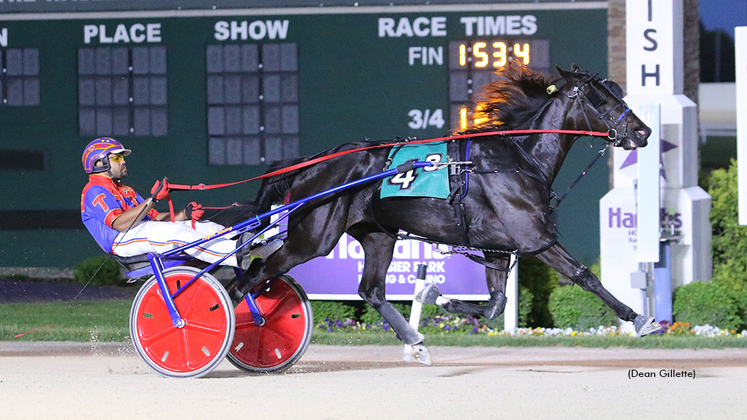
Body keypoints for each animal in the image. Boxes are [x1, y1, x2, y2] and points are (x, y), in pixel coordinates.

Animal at [215, 63, 656, 364]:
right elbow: (583, 275)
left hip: (378, 235)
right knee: (254, 274)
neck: (518, 157)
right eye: (602, 97)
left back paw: (416, 342)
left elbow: (495, 305)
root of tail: (312, 163)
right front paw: (640, 319)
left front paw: (433, 295)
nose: (643, 131)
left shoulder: (498, 247)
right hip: (313, 237)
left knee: (371, 291)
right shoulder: (533, 237)